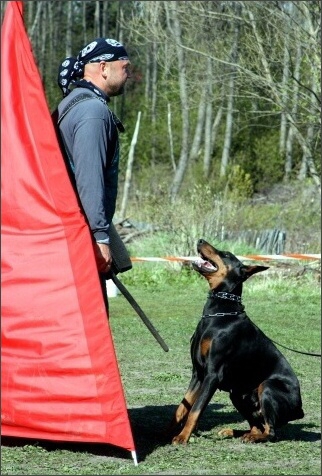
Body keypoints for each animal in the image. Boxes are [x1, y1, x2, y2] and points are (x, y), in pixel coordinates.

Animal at [170, 240, 304, 444]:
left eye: (225, 254)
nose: (200, 240)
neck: (219, 313)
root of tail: (300, 409)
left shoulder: (212, 375)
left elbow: (195, 409)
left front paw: (183, 437)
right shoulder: (197, 373)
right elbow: (182, 407)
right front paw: (169, 432)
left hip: (267, 387)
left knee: (270, 431)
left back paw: (251, 437)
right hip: (237, 393)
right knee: (257, 426)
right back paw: (235, 433)